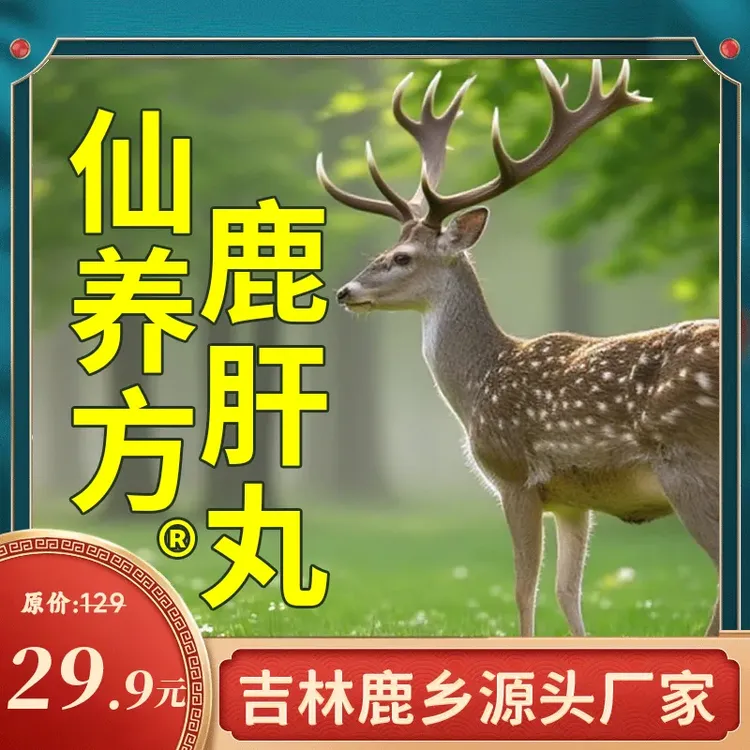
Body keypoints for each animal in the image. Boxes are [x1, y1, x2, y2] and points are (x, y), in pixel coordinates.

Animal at [316, 59, 720, 638]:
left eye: (402, 257)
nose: (345, 292)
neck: (480, 386)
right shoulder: (575, 499)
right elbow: (568, 593)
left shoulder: (515, 477)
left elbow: (523, 590)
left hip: (692, 463)